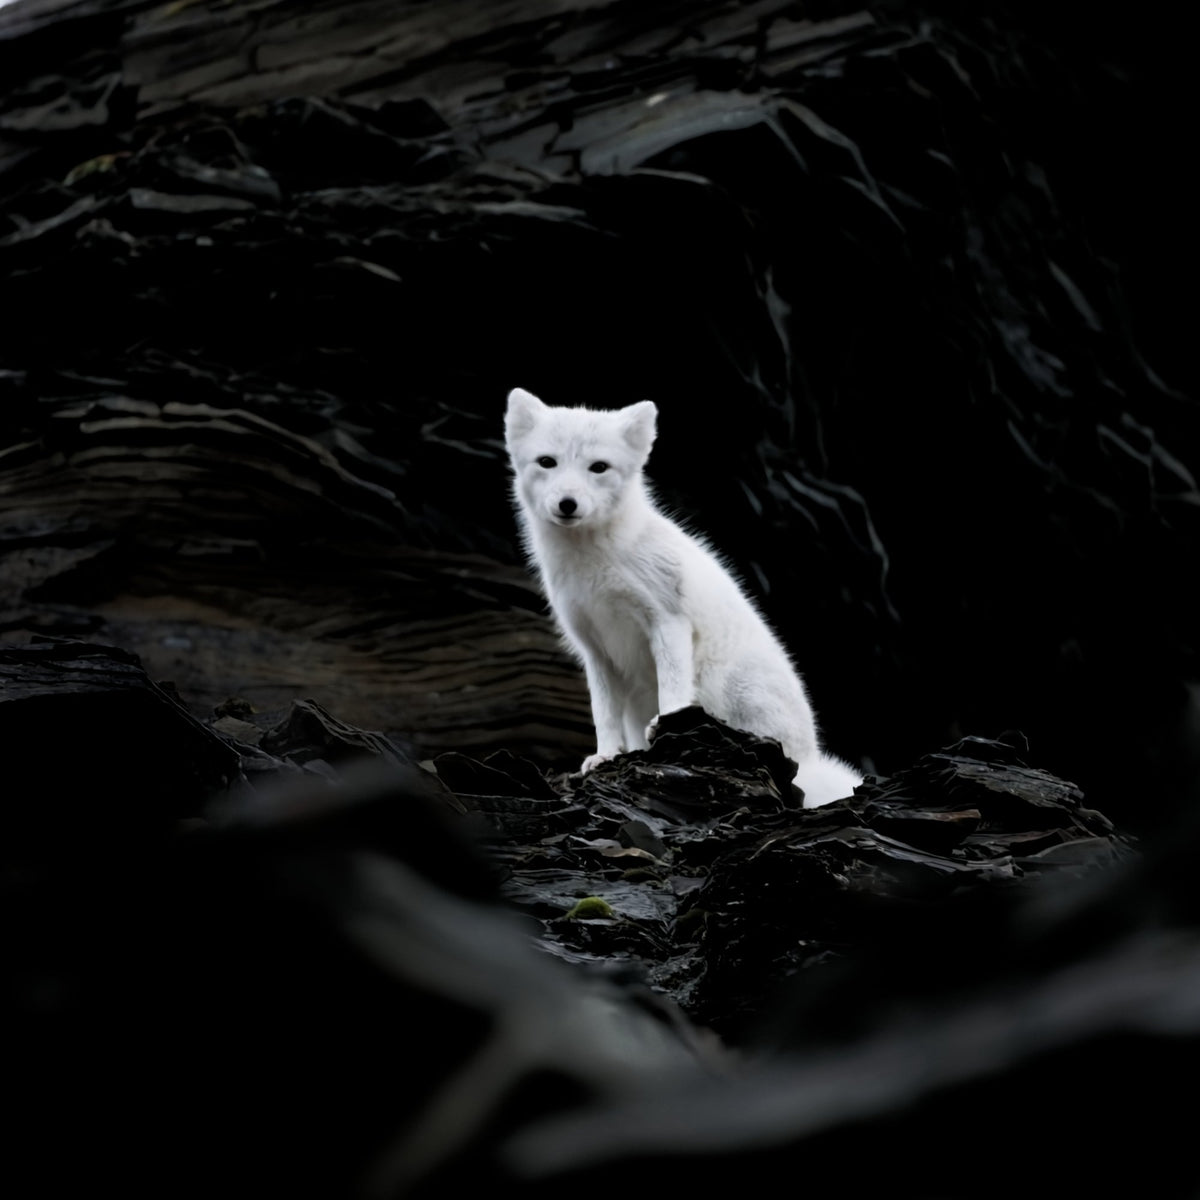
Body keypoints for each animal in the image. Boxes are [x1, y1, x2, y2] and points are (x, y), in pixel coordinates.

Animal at [504, 387, 861, 808]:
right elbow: (602, 712)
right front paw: (605, 755)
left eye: (599, 467)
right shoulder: (594, 647)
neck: (595, 564)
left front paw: (666, 729)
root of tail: (809, 757)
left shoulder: (667, 620)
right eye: (547, 462)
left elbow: (672, 688)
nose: (567, 503)